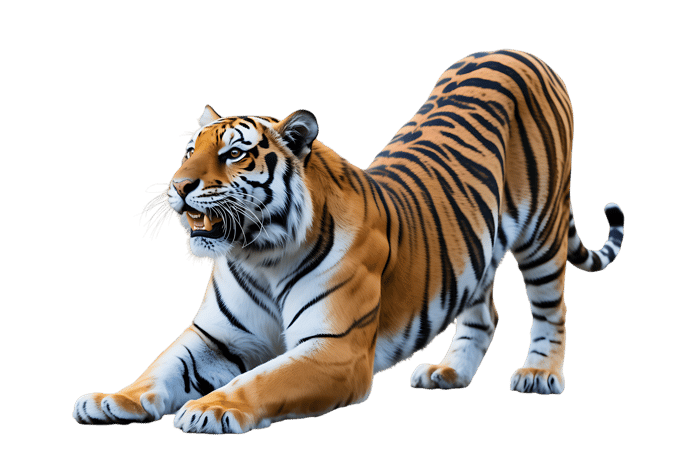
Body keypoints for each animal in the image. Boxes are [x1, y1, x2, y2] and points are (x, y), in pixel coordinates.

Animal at [72, 49, 625, 434]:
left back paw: (539, 375)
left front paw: (211, 407)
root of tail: (518, 51)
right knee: (484, 313)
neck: (260, 255)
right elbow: (160, 367)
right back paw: (448, 372)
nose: (179, 186)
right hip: (475, 249)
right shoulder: (215, 336)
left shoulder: (334, 349)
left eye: (233, 153)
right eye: (190, 151)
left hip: (543, 229)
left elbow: (262, 378)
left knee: (552, 308)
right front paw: (111, 400)